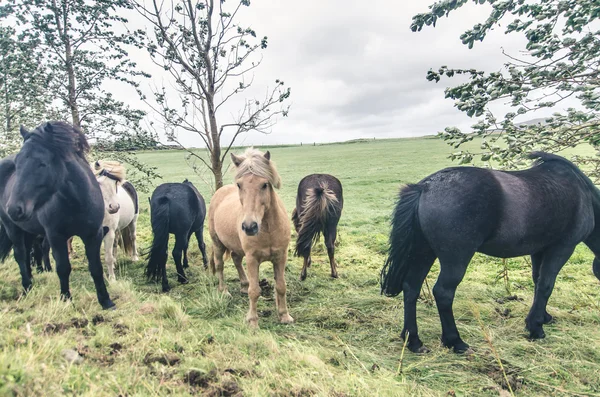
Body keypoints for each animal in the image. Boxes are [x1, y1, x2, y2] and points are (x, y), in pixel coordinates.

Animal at [0, 122, 113, 308]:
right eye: (17, 163)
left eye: (42, 163)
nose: (14, 209)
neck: (77, 202)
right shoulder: (56, 237)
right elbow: (63, 268)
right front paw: (66, 299)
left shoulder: (93, 235)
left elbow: (96, 268)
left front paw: (106, 301)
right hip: (12, 229)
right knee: (20, 255)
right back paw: (26, 288)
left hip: (29, 231)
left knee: (28, 254)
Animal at [207, 147, 294, 326]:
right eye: (240, 185)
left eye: (264, 184)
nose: (249, 226)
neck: (267, 229)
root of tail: (220, 191)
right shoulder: (252, 258)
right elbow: (254, 290)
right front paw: (252, 320)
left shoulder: (281, 256)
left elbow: (281, 286)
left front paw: (284, 315)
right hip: (218, 243)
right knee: (219, 265)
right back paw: (224, 291)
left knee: (236, 259)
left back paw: (243, 284)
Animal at [382, 152, 600, 352]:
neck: (583, 194)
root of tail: (425, 187)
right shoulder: (562, 247)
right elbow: (547, 285)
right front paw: (536, 328)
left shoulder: (539, 250)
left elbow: (538, 282)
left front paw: (542, 317)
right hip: (455, 259)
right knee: (443, 292)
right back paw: (455, 341)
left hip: (422, 253)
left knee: (411, 287)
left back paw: (413, 340)